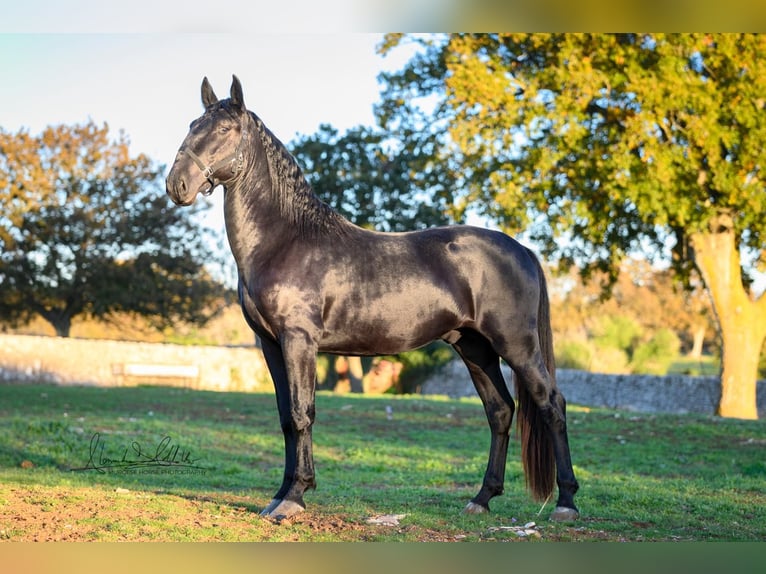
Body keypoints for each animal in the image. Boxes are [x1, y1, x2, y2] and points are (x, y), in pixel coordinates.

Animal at [165, 75, 580, 520]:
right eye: (192, 125)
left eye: (225, 129)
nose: (177, 185)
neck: (286, 240)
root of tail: (521, 249)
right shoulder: (271, 344)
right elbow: (285, 418)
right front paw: (278, 496)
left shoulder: (299, 341)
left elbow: (301, 413)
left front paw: (294, 496)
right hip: (475, 348)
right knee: (500, 411)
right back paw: (481, 498)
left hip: (516, 345)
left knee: (551, 404)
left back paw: (567, 502)